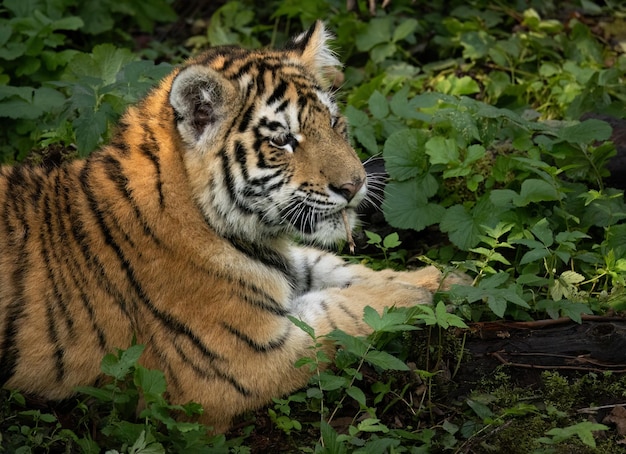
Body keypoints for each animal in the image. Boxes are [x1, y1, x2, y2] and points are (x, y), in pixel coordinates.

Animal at [0, 21, 464, 432]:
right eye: (282, 140)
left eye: (332, 123)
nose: (355, 185)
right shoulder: (243, 361)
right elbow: (347, 315)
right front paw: (414, 297)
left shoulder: (288, 263)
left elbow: (340, 269)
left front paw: (445, 279)